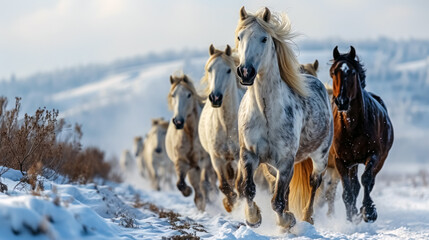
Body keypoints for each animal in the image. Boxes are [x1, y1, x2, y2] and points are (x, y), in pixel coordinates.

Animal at [166, 74, 216, 211]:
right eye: (173, 95)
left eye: (189, 95)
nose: (178, 121)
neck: (191, 133)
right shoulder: (182, 162)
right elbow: (180, 184)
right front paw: (188, 192)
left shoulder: (205, 161)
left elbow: (205, 184)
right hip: (194, 169)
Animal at [199, 44, 246, 212]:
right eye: (209, 69)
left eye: (228, 70)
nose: (215, 97)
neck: (226, 125)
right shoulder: (216, 158)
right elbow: (225, 186)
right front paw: (229, 205)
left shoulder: (239, 157)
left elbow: (238, 184)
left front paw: (236, 204)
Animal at [234, 7, 332, 229]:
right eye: (239, 37)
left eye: (264, 38)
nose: (245, 72)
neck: (266, 113)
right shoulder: (249, 154)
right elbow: (248, 189)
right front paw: (253, 218)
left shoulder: (286, 160)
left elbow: (277, 201)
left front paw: (287, 220)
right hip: (272, 166)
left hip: (320, 157)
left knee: (314, 183)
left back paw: (306, 217)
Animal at [328, 46, 394, 222]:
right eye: (333, 72)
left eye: (352, 72)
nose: (342, 101)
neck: (351, 127)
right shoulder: (340, 160)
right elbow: (348, 192)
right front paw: (351, 216)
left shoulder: (374, 155)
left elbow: (367, 180)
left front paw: (369, 211)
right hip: (352, 163)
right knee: (354, 186)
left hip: (380, 160)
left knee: (368, 182)